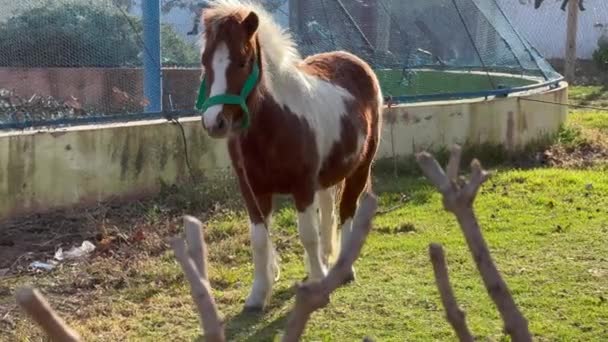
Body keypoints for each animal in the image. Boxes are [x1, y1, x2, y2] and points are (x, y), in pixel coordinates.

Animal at [197, 0, 382, 312]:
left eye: (243, 61)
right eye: (204, 61)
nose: (215, 122)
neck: (276, 123)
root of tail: (357, 62)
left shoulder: (302, 187)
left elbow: (307, 234)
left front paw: (318, 287)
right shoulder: (253, 191)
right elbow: (259, 239)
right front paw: (259, 294)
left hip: (359, 168)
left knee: (347, 211)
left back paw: (342, 269)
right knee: (329, 210)